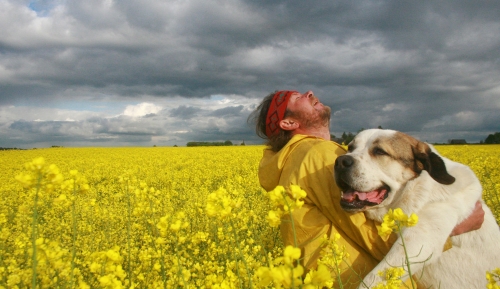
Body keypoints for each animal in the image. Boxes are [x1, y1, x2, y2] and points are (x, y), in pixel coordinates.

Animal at [332, 128, 500, 288]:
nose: (340, 161)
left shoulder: (419, 240)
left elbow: (373, 278)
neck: (412, 191)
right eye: (350, 148)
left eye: (380, 151)